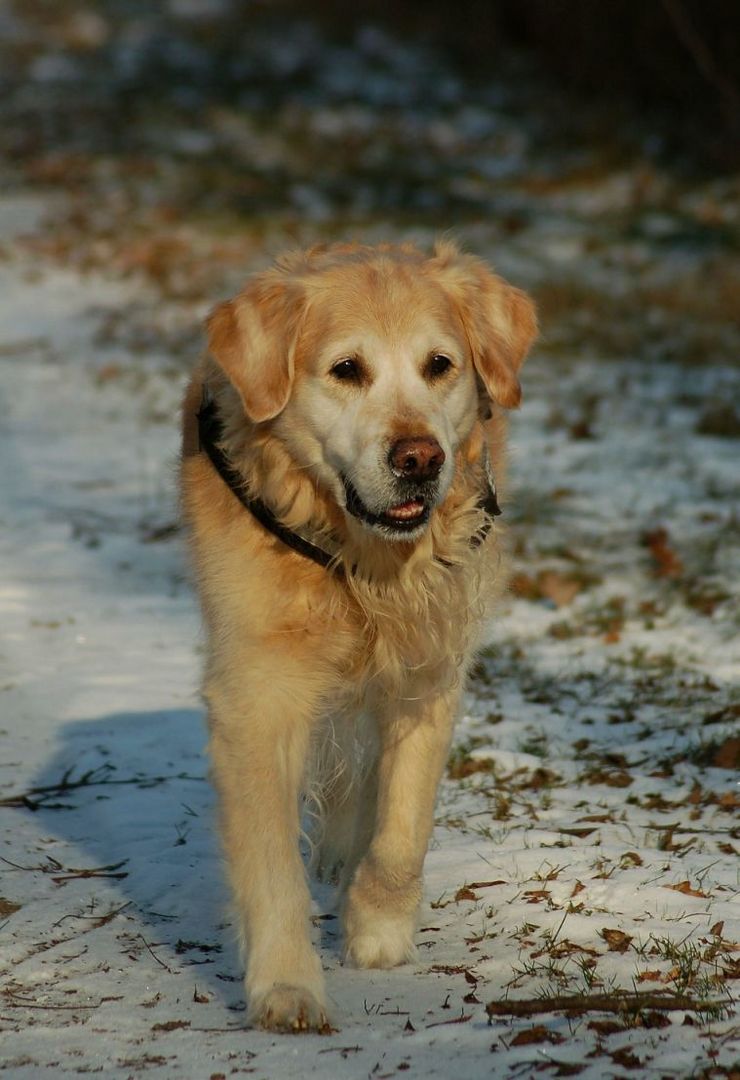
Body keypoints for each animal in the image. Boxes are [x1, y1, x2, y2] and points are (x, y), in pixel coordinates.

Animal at [179, 240, 535, 1032]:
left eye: (440, 364)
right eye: (347, 370)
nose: (419, 458)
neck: (365, 562)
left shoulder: (429, 669)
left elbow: (402, 827)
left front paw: (377, 926)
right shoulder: (258, 691)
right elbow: (270, 859)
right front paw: (287, 986)